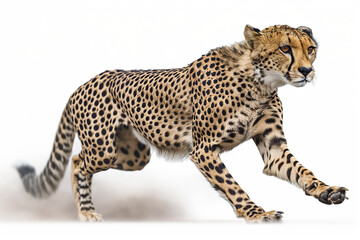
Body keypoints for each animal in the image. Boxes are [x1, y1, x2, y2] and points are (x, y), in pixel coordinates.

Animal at [17, 25, 348, 222]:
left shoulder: (273, 148)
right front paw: (255, 213)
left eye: (310, 49)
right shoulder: (203, 150)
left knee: (81, 159)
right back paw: (86, 212)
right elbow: (231, 185)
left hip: (135, 155)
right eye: (285, 48)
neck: (261, 83)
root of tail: (84, 82)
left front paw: (325, 190)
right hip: (103, 149)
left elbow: (301, 171)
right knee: (76, 161)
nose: (306, 71)